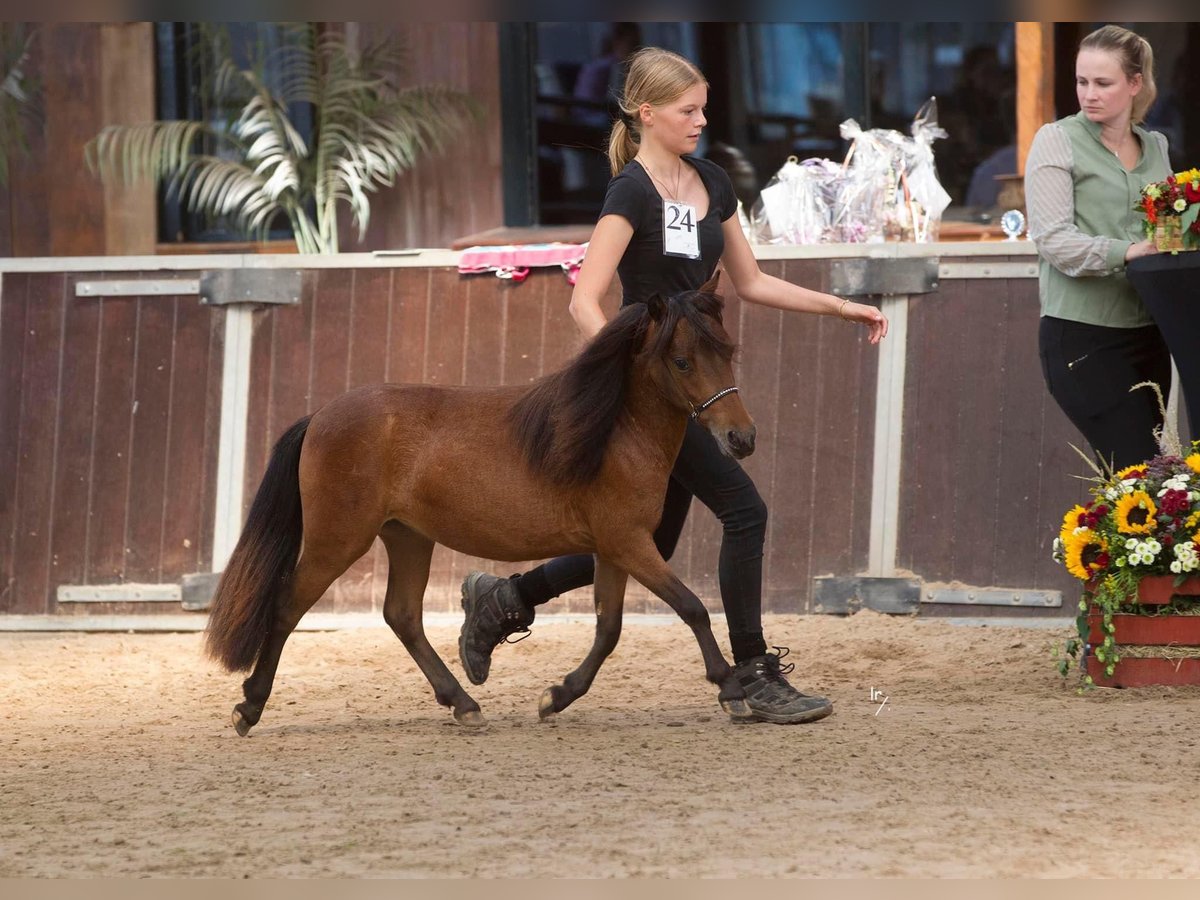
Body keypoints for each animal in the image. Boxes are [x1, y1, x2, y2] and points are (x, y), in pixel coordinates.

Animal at [201, 273, 753, 734]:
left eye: (729, 350)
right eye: (682, 360)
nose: (741, 438)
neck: (612, 433)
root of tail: (318, 417)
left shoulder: (615, 549)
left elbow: (609, 629)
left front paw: (557, 696)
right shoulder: (629, 543)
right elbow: (691, 607)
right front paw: (731, 688)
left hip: (408, 537)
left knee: (402, 615)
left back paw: (463, 703)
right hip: (337, 541)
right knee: (286, 607)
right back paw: (249, 706)